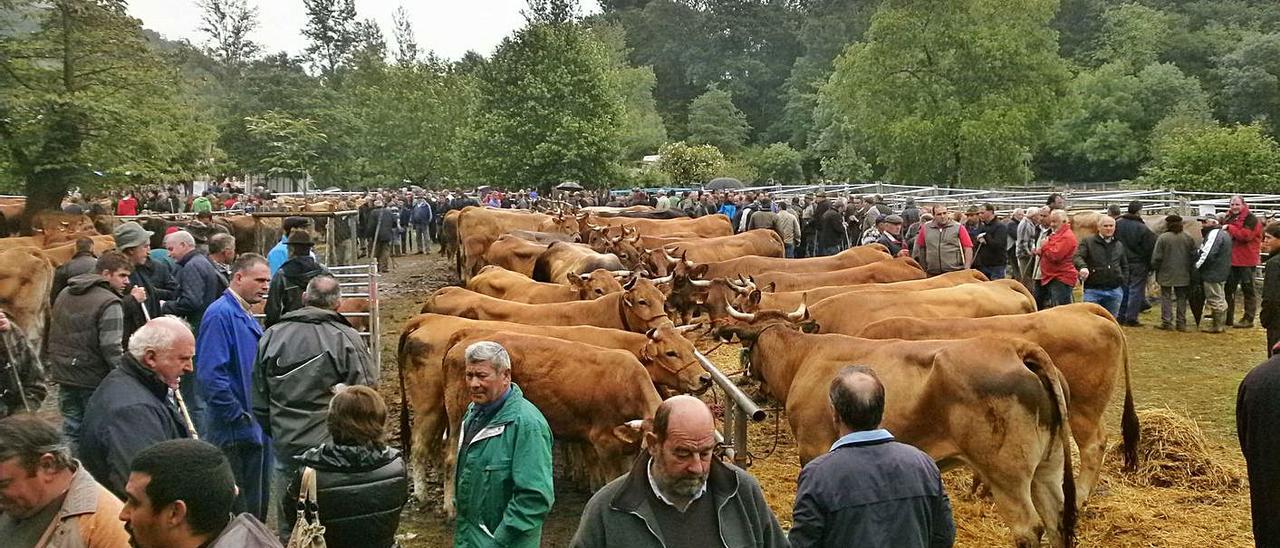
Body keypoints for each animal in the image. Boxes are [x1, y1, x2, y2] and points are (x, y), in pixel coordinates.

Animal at [727, 321, 1075, 548]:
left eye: (747, 349)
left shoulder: (813, 447)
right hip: (1048, 467)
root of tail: (1018, 348)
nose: (747, 379)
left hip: (1006, 474)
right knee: (1058, 522)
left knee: (1029, 530)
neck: (804, 358)